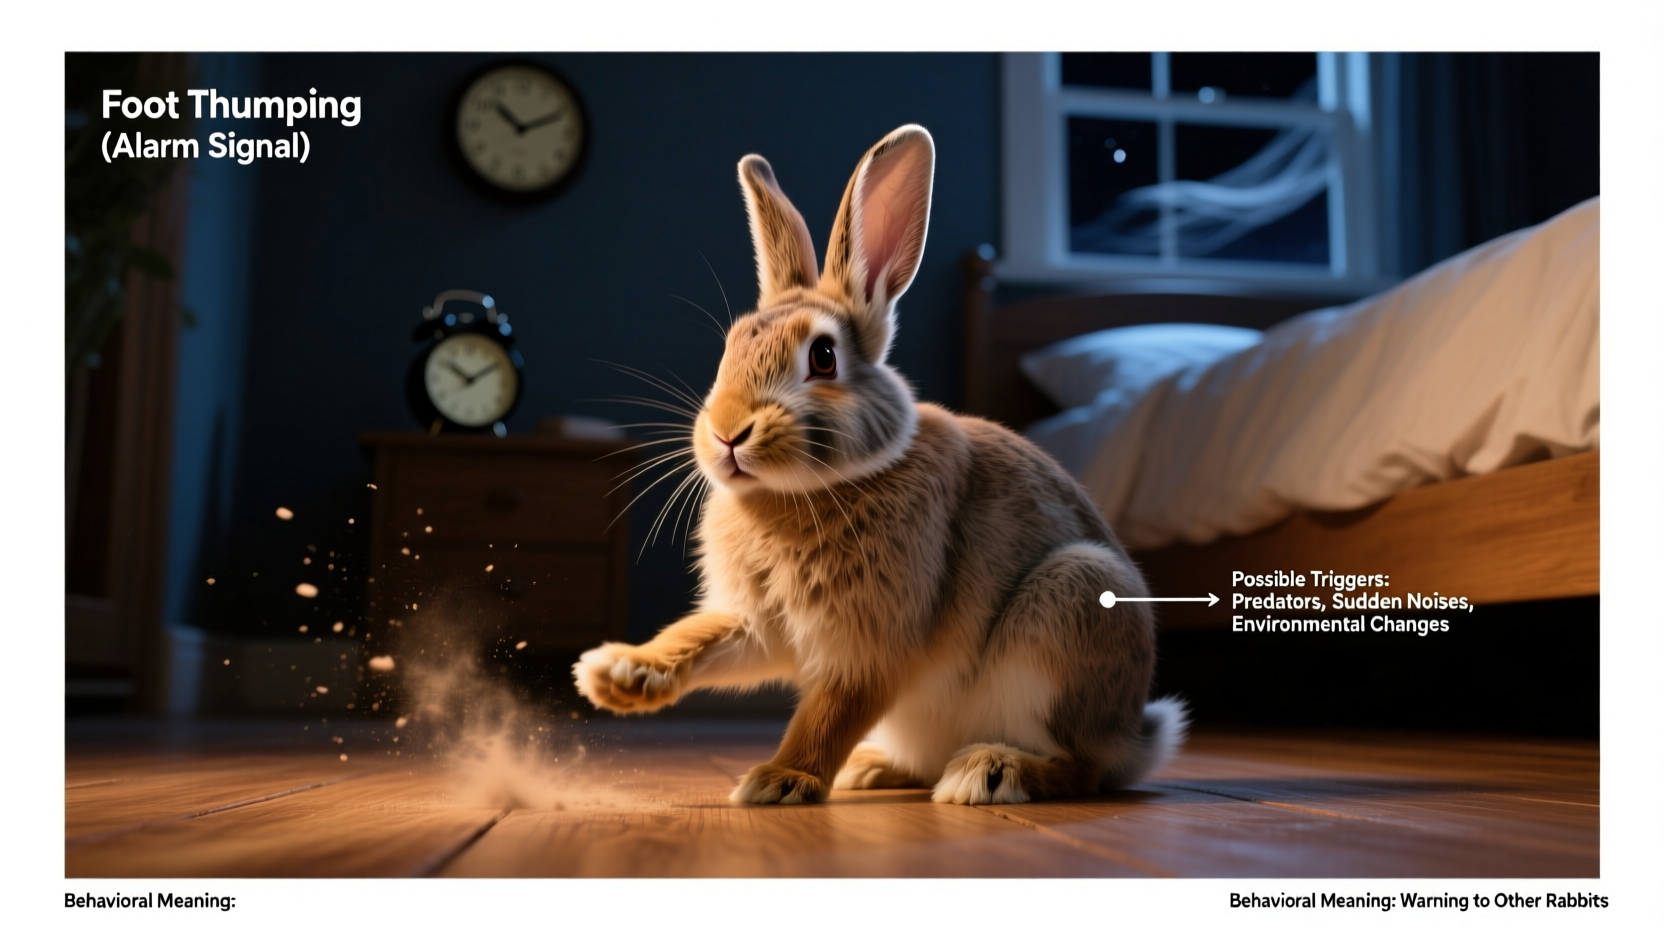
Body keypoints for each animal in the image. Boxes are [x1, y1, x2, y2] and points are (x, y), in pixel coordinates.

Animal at [573, 124, 1187, 805]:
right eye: (731, 347)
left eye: (822, 357)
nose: (727, 433)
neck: (807, 490)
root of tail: (1133, 736)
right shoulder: (759, 624)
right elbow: (702, 638)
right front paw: (615, 674)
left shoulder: (872, 643)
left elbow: (830, 712)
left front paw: (779, 781)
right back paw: (874, 769)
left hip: (1072, 606)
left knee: (1081, 768)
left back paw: (989, 772)